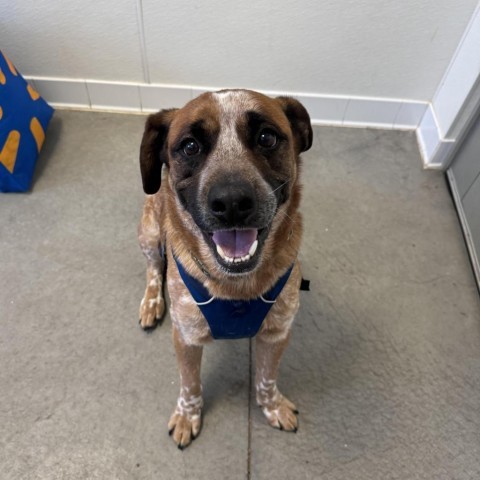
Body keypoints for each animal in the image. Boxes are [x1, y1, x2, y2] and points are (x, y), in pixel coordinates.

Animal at [137, 88, 314, 448]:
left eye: (266, 137)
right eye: (190, 145)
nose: (232, 202)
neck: (237, 287)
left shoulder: (277, 334)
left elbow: (266, 379)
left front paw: (272, 406)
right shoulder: (186, 338)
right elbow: (190, 385)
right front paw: (187, 416)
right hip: (148, 232)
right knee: (153, 266)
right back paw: (151, 303)